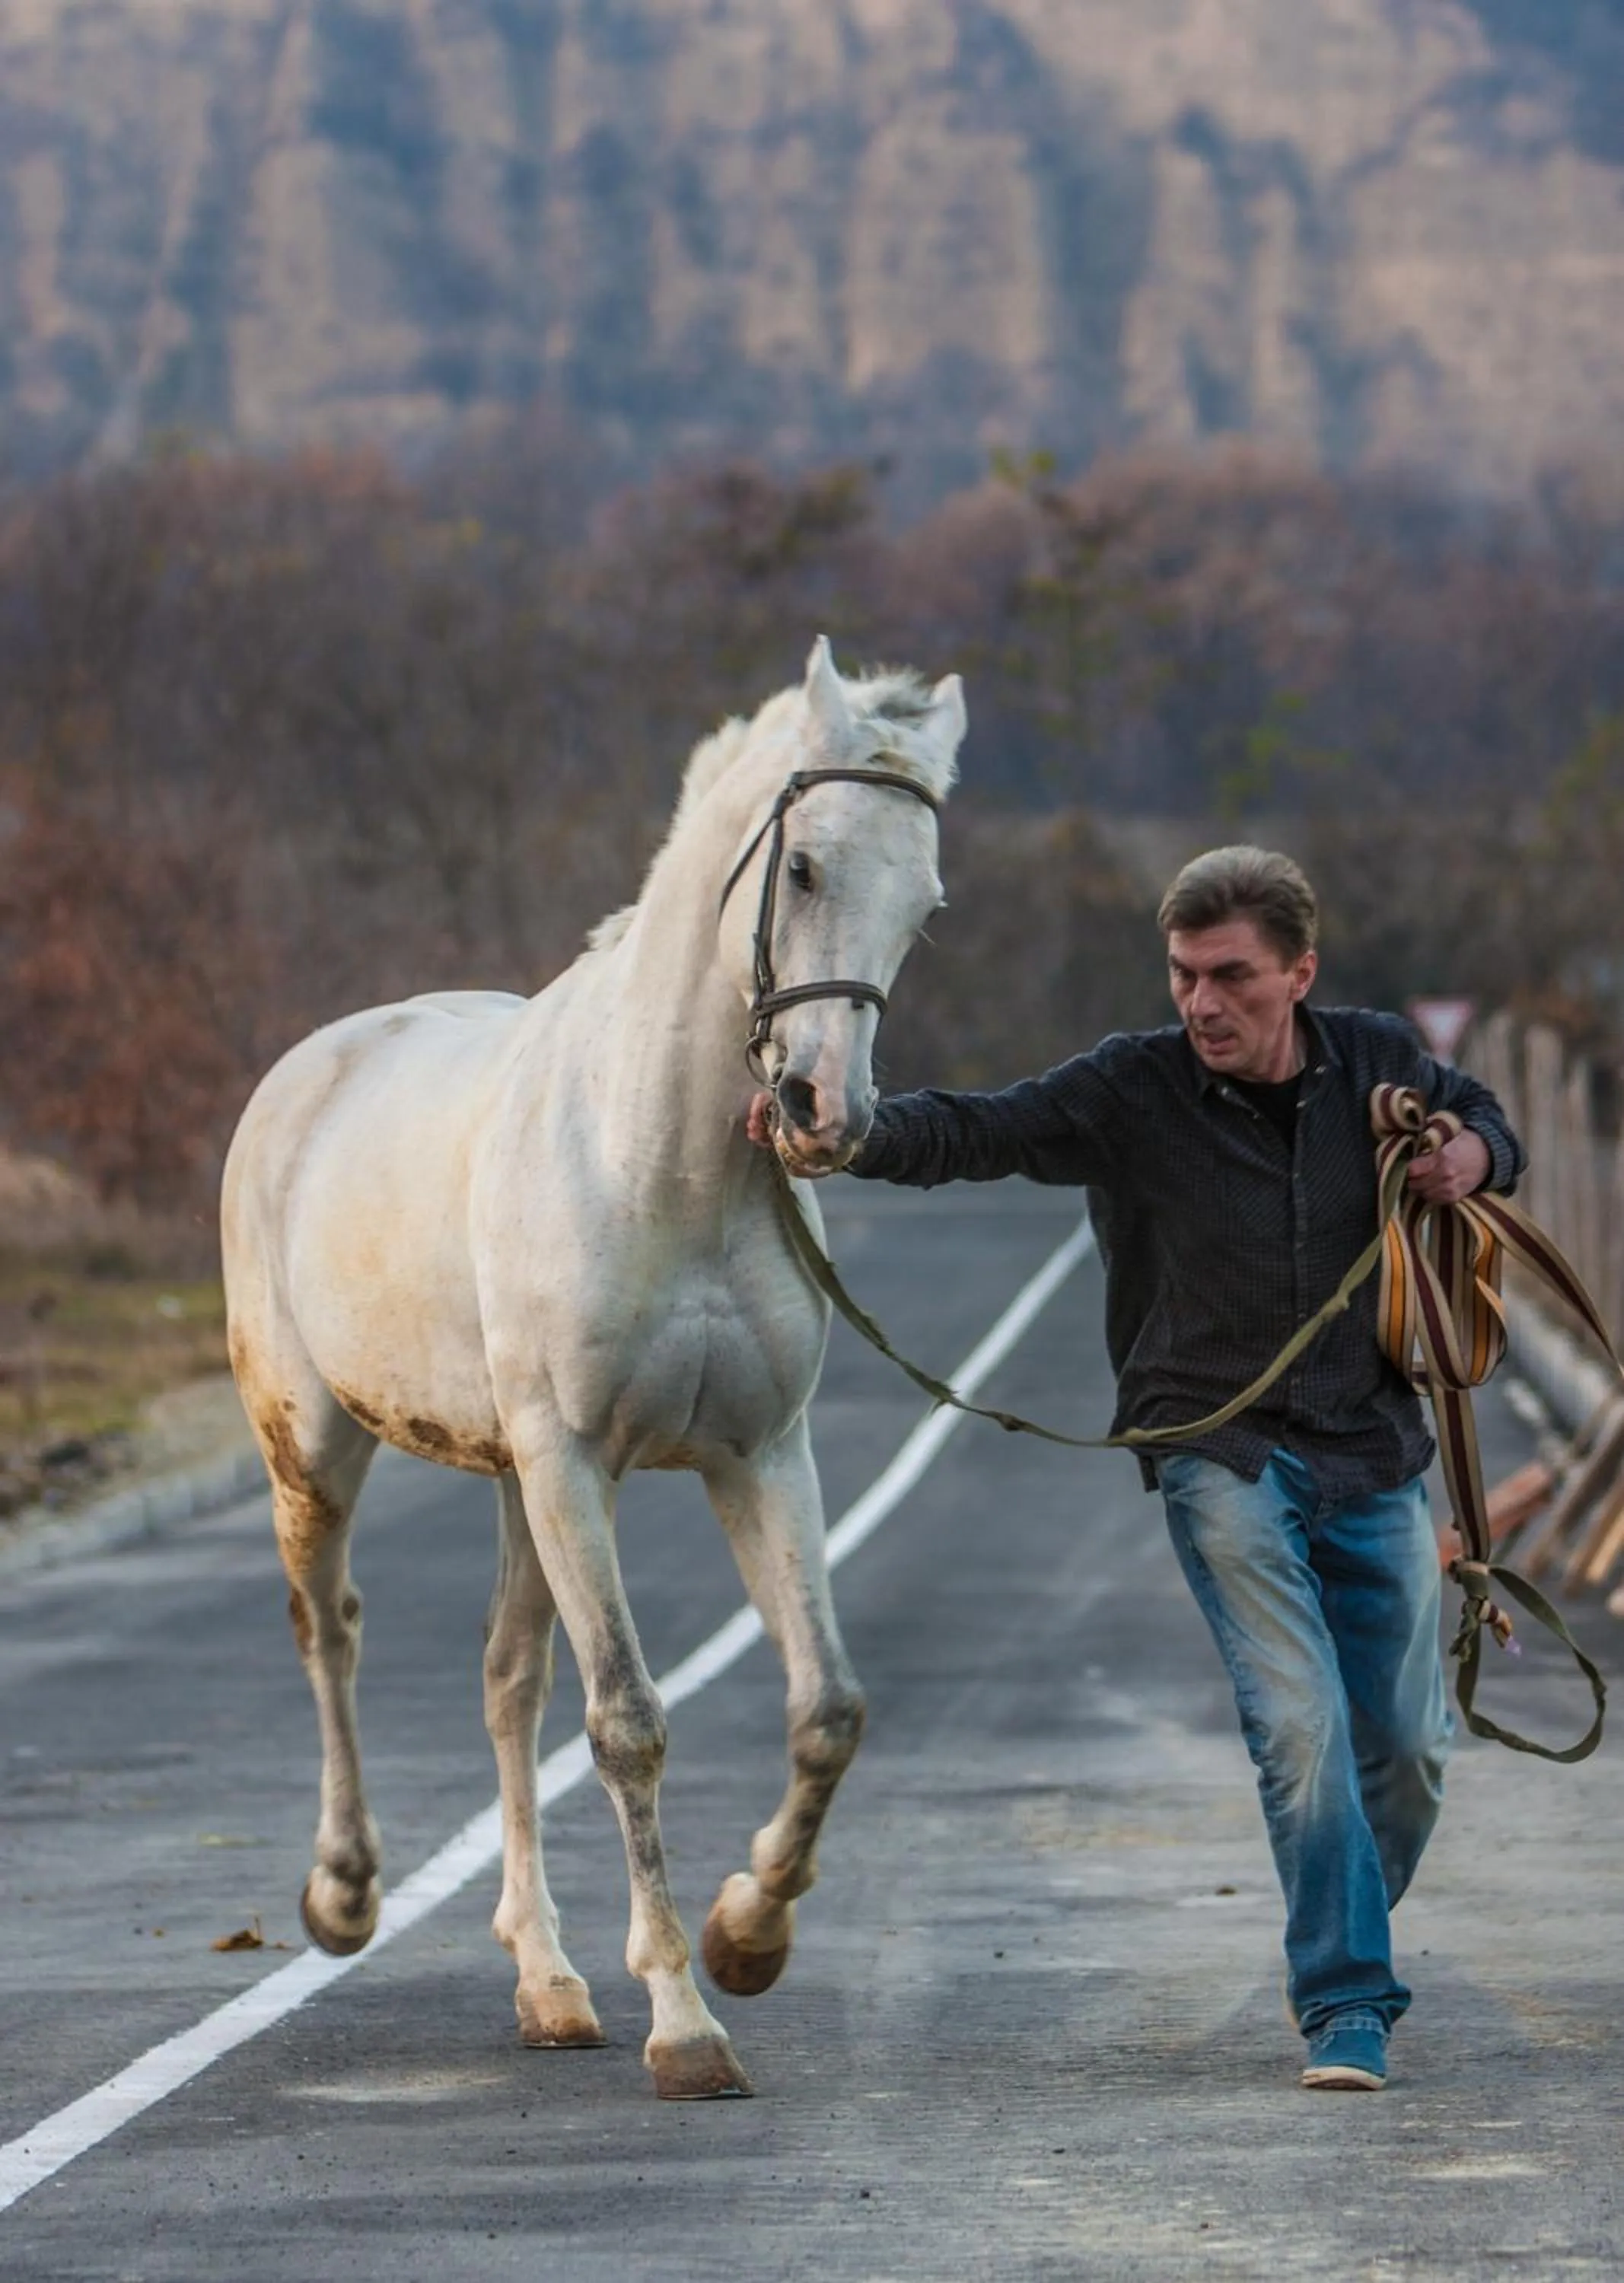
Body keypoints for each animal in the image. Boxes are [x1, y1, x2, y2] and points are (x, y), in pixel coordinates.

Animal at [220, 637, 963, 2099]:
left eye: (922, 906)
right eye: (803, 868)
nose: (824, 1115)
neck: (657, 1158)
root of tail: (311, 1068)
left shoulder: (757, 1458)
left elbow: (825, 1709)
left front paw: (745, 1936)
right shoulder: (575, 1463)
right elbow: (626, 1723)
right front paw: (685, 2021)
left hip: (512, 1479)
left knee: (508, 1684)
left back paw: (548, 1981)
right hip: (320, 1451)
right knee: (328, 1631)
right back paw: (344, 1894)